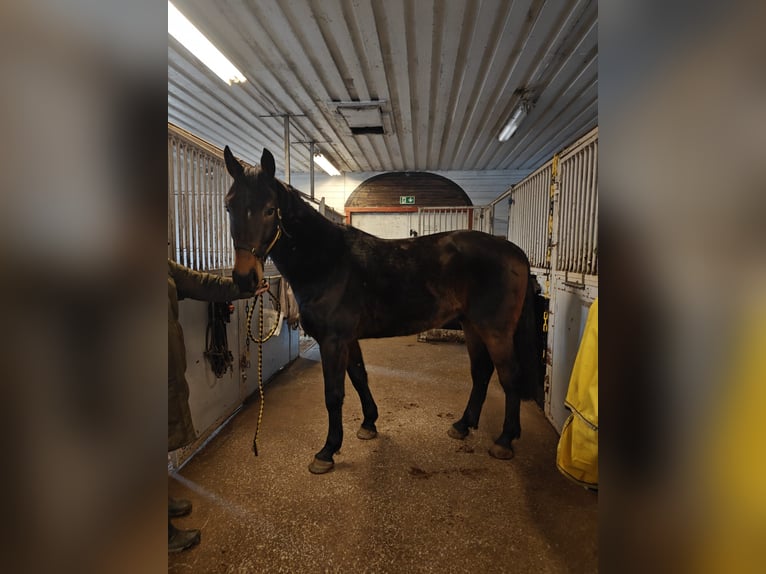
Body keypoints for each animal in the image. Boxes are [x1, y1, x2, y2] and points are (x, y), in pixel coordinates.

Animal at [225, 146, 544, 474]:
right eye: (229, 207)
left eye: (270, 210)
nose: (244, 278)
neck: (329, 262)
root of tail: (513, 251)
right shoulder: (347, 339)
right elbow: (359, 377)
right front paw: (368, 424)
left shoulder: (333, 341)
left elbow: (334, 394)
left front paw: (327, 451)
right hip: (472, 326)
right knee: (481, 372)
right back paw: (463, 425)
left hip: (496, 331)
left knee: (509, 376)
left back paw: (504, 440)